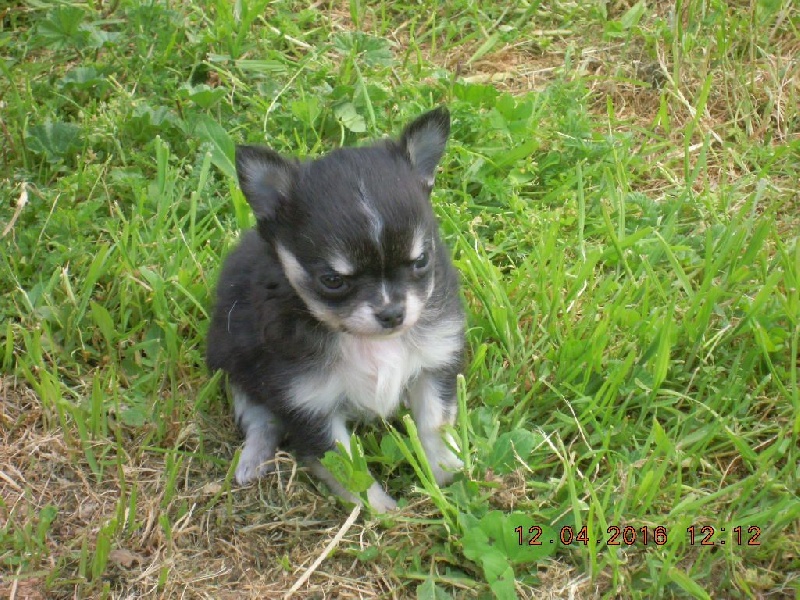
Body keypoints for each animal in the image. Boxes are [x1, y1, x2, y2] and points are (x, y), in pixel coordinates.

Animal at [206, 108, 466, 510]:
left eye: (421, 261)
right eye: (332, 280)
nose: (392, 314)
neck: (365, 340)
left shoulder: (434, 360)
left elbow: (434, 422)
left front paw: (445, 477)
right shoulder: (308, 404)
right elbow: (347, 468)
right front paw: (384, 512)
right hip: (232, 357)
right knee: (259, 415)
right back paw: (253, 459)